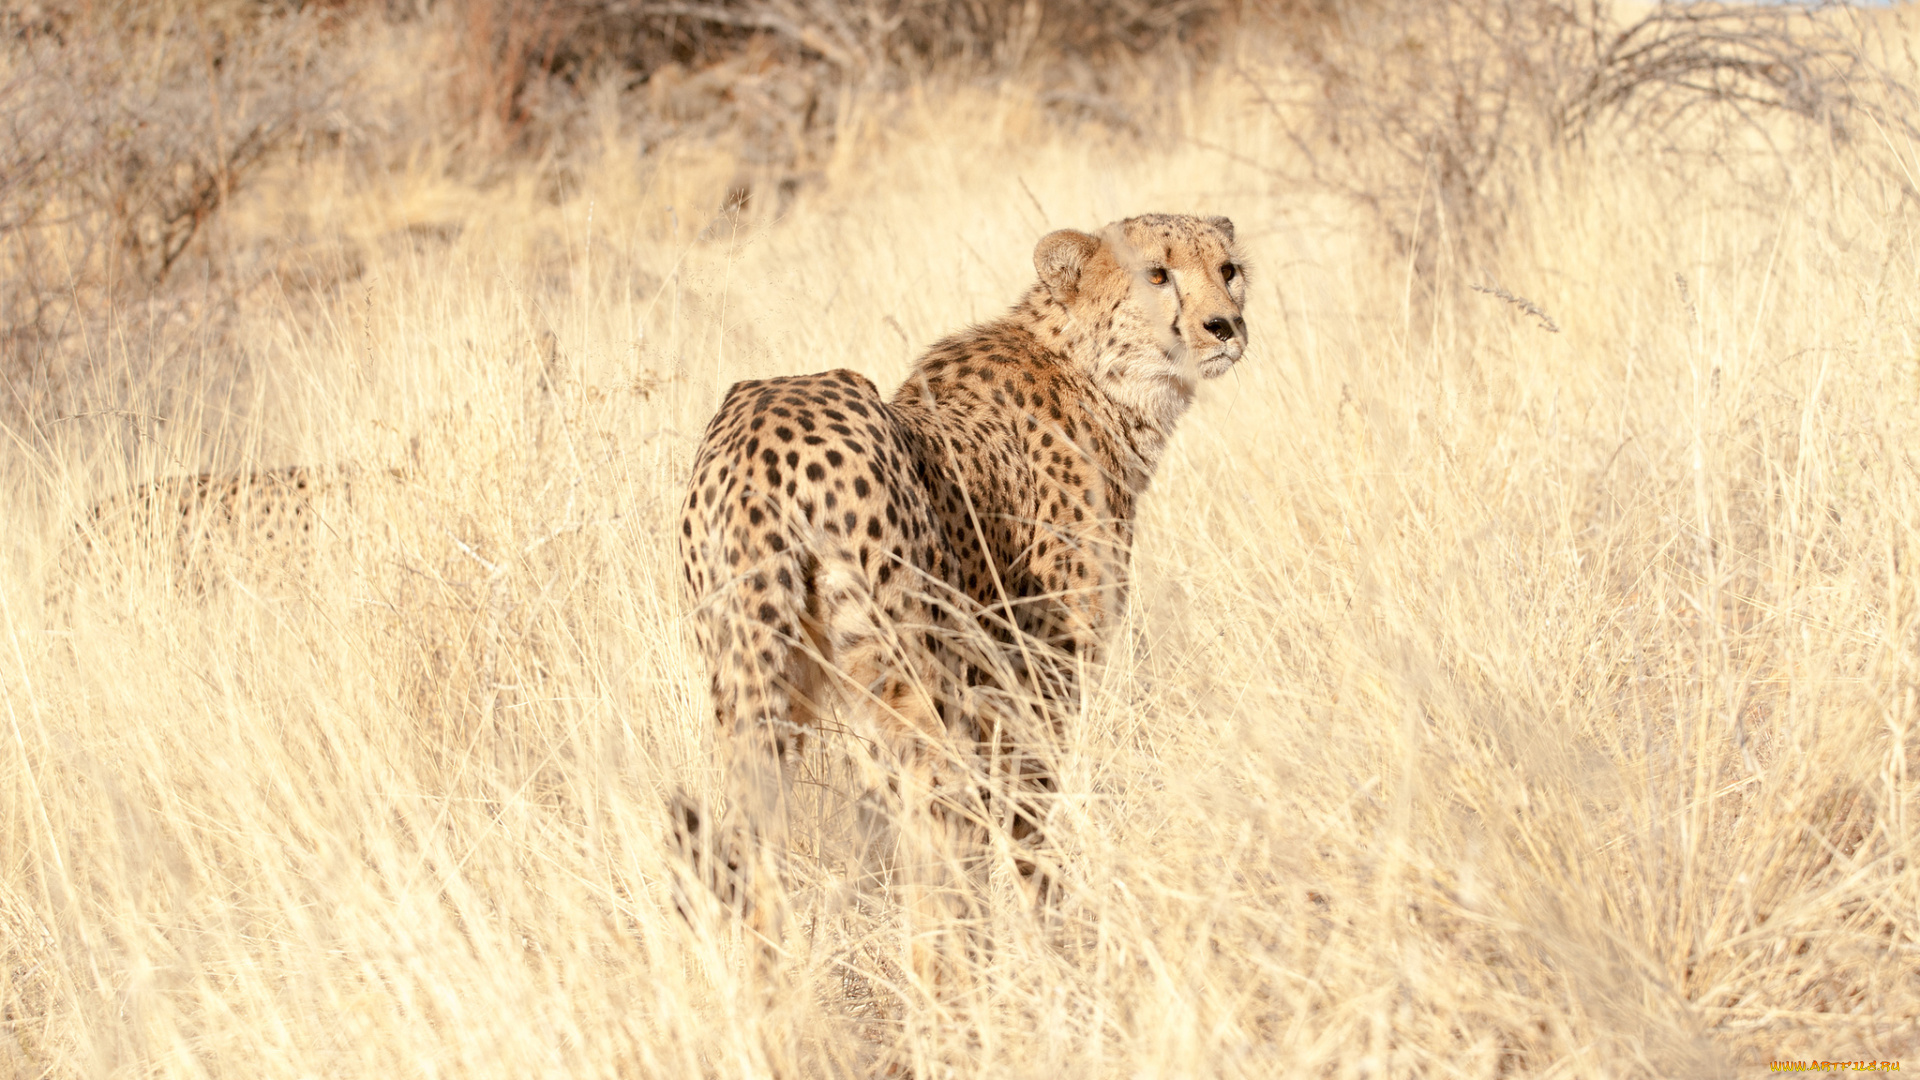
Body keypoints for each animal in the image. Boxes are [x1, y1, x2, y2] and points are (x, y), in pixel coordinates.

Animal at [674, 212, 1250, 959]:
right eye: (1157, 273)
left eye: (1228, 269)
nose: (1225, 325)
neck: (1096, 373)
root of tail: (768, 430)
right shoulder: (1034, 681)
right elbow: (1029, 826)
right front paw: (1054, 938)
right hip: (914, 676)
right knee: (933, 846)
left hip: (754, 681)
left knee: (755, 846)